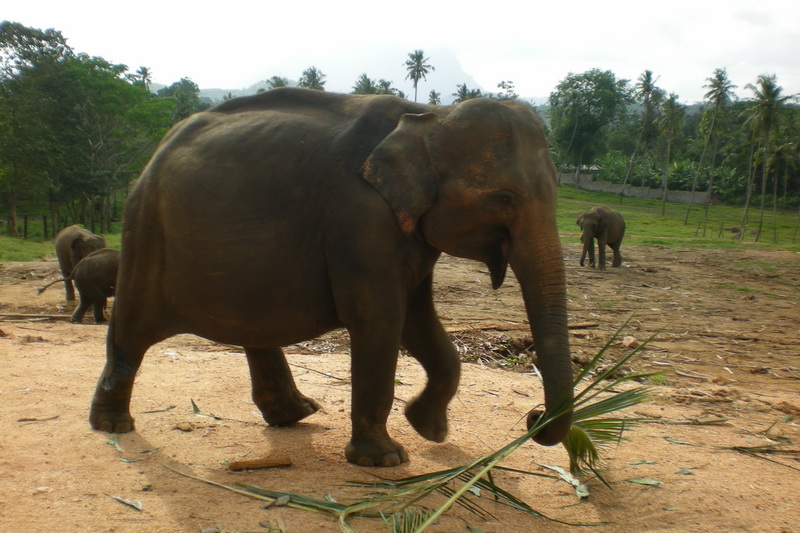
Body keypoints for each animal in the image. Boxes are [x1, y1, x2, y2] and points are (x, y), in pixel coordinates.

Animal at [89, 86, 576, 466]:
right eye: (505, 198)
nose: (534, 416)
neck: (428, 115)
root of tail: (157, 150)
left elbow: (418, 321)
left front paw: (430, 430)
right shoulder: (360, 219)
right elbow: (380, 320)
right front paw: (386, 459)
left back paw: (296, 414)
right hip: (146, 230)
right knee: (132, 326)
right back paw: (113, 425)